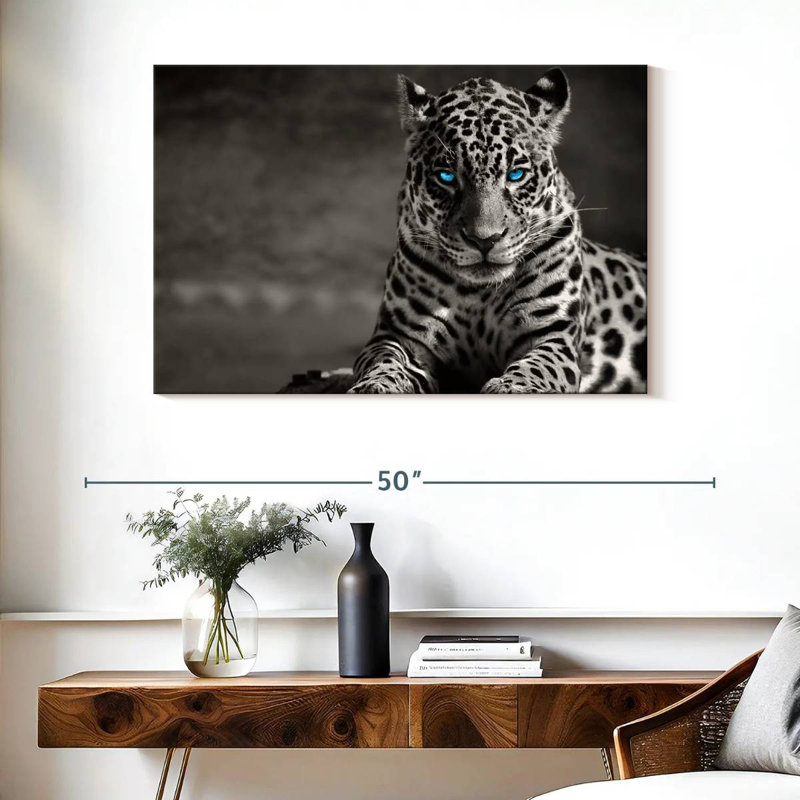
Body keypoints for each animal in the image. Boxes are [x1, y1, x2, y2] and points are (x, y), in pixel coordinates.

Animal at [349, 68, 646, 394]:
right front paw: (374, 386)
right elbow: (384, 362)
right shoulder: (398, 335)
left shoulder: (552, 335)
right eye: (446, 176)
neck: (479, 294)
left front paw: (511, 387)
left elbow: (536, 368)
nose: (484, 240)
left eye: (516, 174)